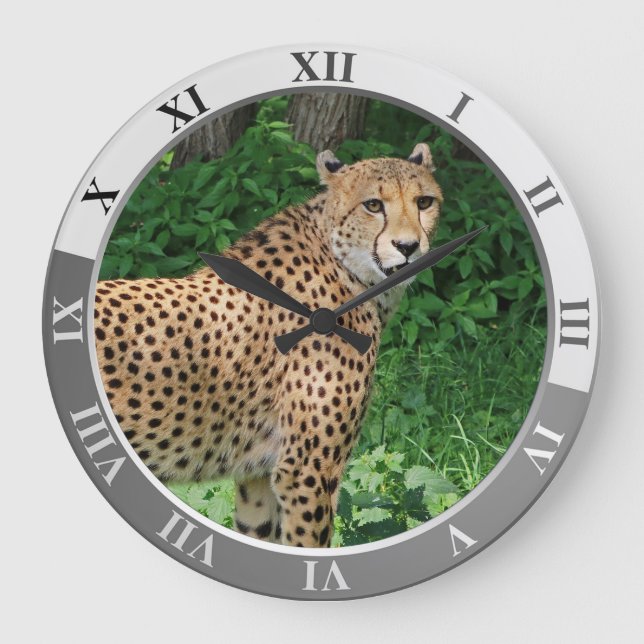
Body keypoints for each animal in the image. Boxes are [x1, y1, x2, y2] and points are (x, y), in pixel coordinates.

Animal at [95, 142, 443, 547]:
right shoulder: (306, 470)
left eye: (424, 202)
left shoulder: (260, 473)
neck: (349, 270)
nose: (408, 246)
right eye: (373, 205)